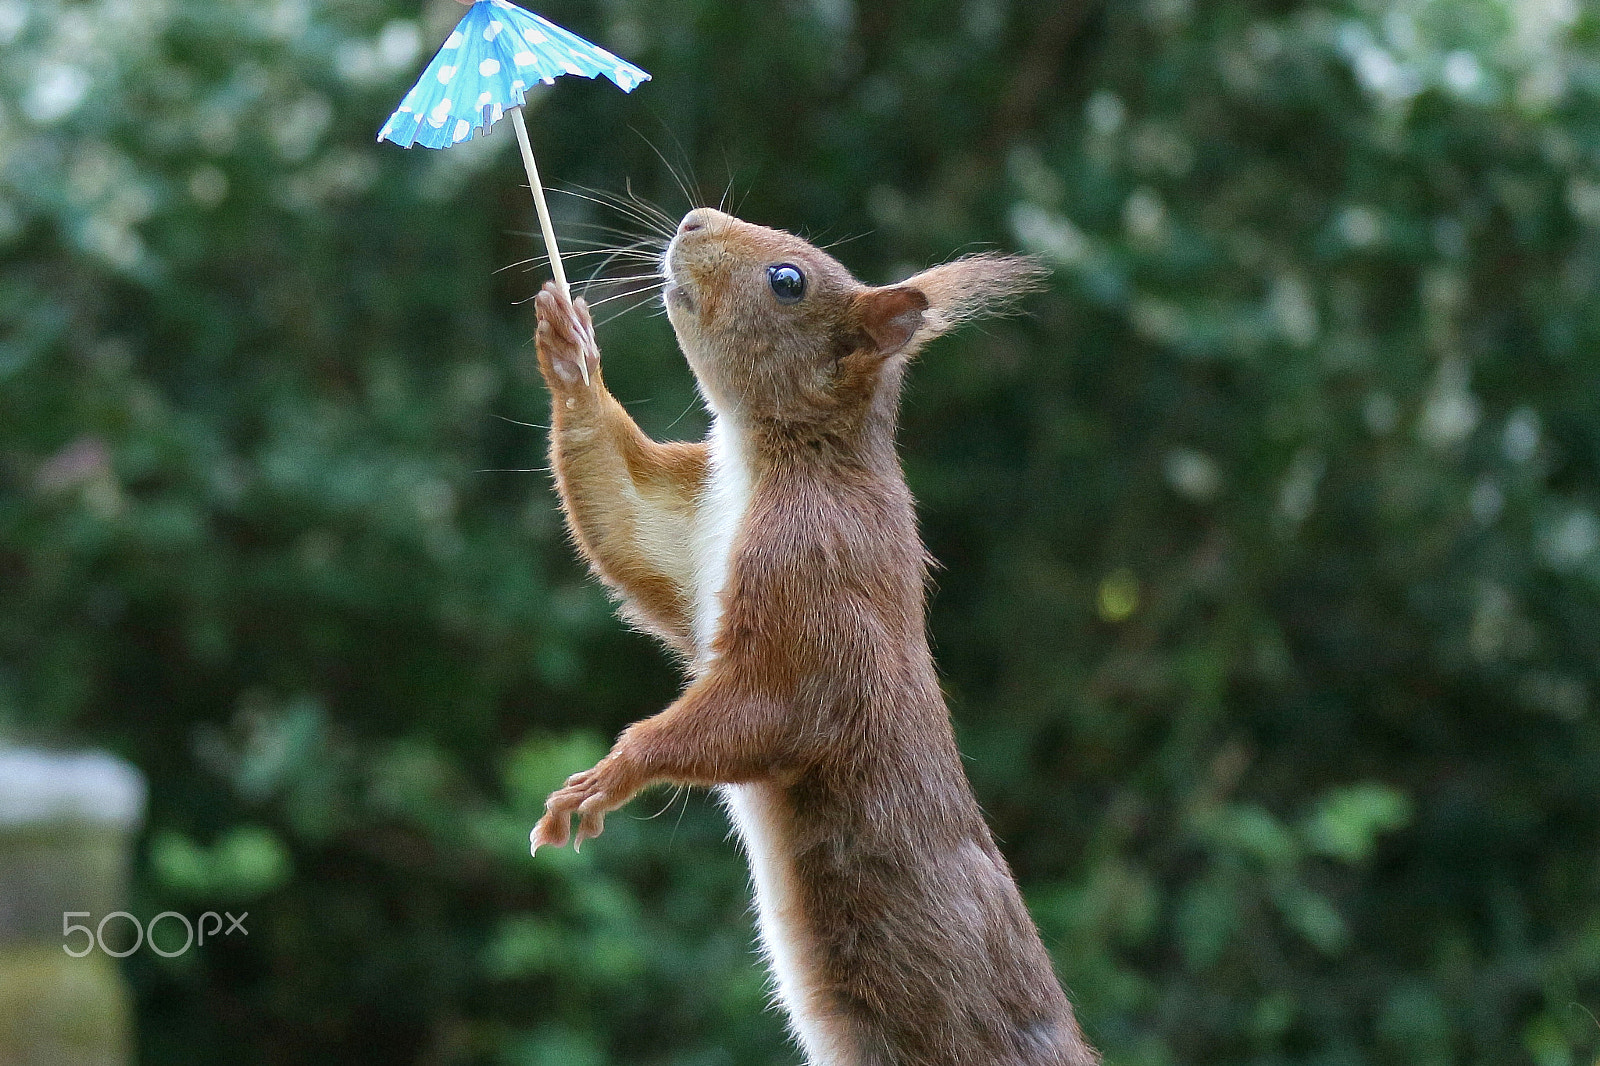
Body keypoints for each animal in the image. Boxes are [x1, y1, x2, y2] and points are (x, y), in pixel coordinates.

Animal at [527, 206, 1098, 1066]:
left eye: (788, 281)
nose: (693, 219)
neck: (791, 457)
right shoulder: (694, 530)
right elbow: (628, 521)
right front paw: (571, 355)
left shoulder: (816, 574)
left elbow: (778, 706)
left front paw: (608, 776)